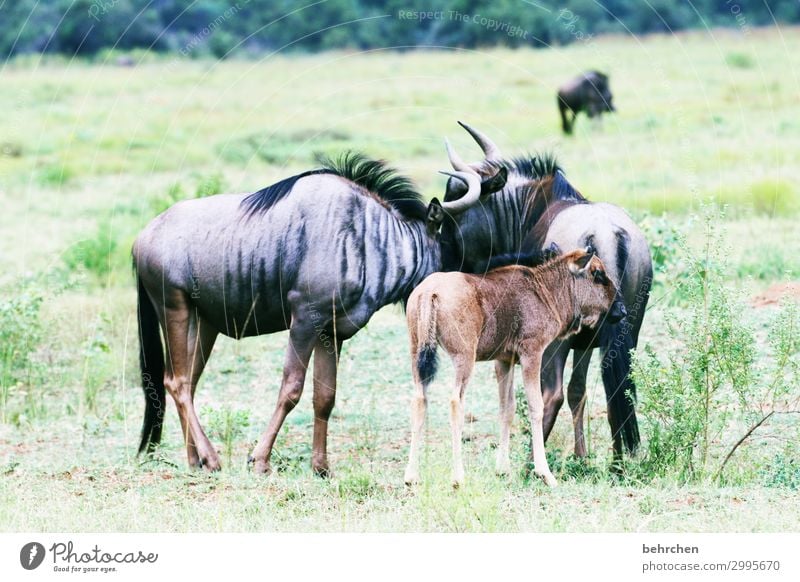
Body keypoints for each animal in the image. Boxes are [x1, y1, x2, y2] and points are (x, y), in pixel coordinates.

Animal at [404, 251, 620, 488]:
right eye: (597, 274)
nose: (622, 310)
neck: (546, 291)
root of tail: (428, 293)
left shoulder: (504, 361)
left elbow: (506, 409)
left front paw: (502, 469)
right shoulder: (531, 353)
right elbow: (536, 406)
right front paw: (544, 473)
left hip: (417, 353)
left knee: (419, 400)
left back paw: (412, 476)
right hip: (464, 357)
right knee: (455, 403)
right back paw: (458, 477)